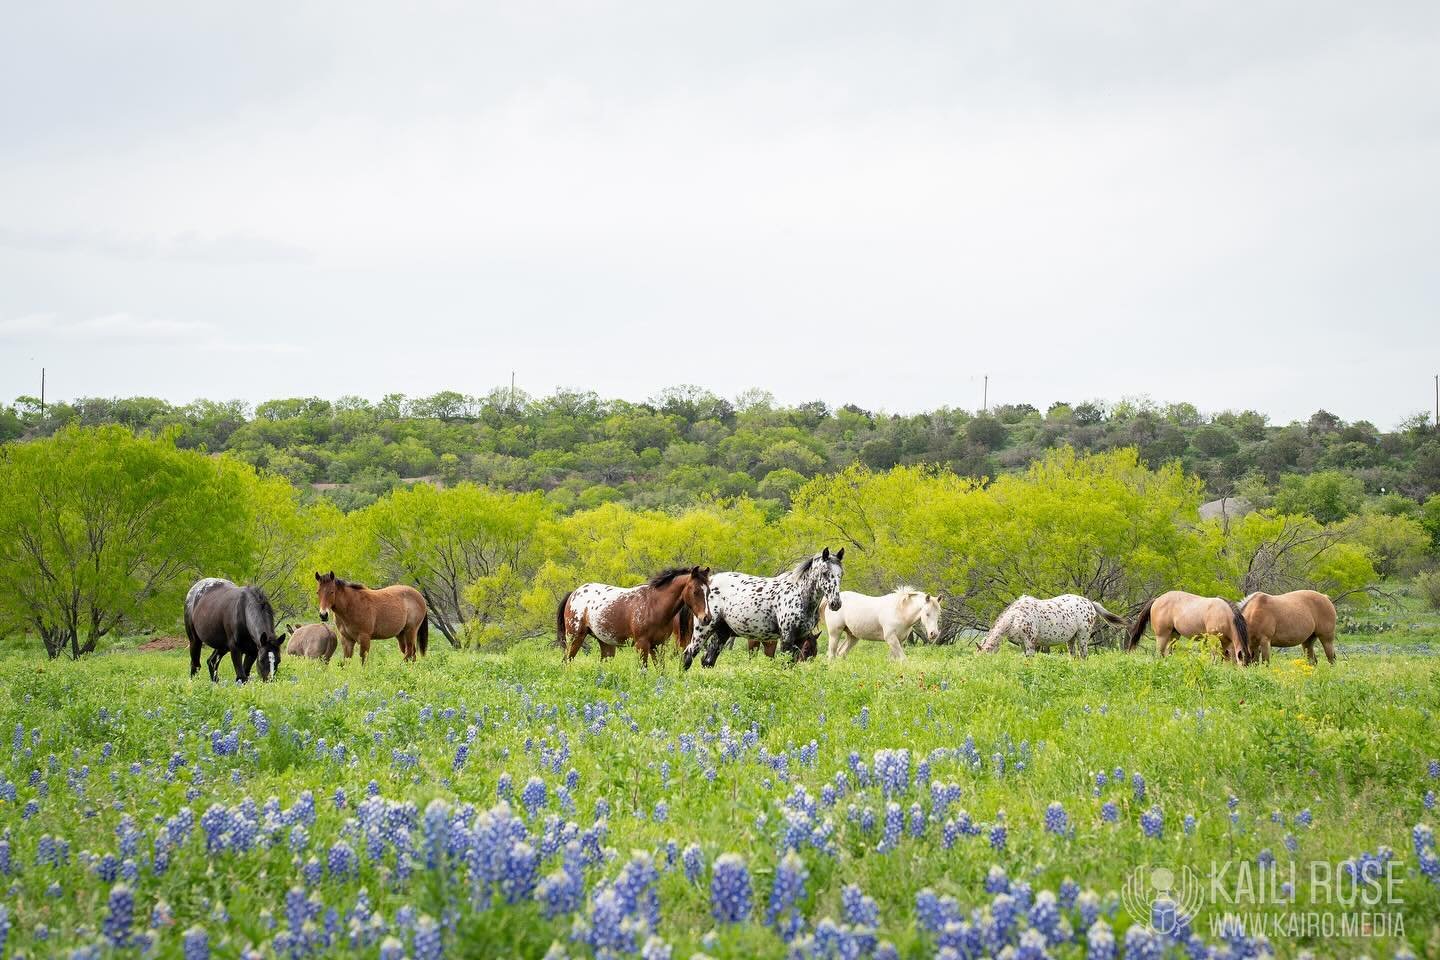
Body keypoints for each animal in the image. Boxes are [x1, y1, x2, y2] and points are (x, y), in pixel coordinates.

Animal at [555, 564, 714, 667]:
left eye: (708, 591)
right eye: (695, 591)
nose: (707, 618)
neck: (653, 605)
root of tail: (574, 593)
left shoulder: (658, 646)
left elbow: (661, 670)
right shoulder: (642, 645)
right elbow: (642, 670)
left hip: (606, 644)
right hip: (575, 638)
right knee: (566, 661)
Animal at [676, 546, 840, 667]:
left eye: (841, 574)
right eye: (825, 573)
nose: (836, 603)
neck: (798, 594)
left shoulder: (799, 637)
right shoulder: (785, 638)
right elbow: (782, 663)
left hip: (722, 633)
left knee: (708, 661)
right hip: (702, 631)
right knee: (688, 655)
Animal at [973, 592, 1128, 662]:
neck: (1015, 618)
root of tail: (1090, 603)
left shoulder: (1030, 642)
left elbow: (1030, 659)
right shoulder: (1023, 643)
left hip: (1083, 636)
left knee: (1084, 655)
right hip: (1071, 639)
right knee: (1073, 655)